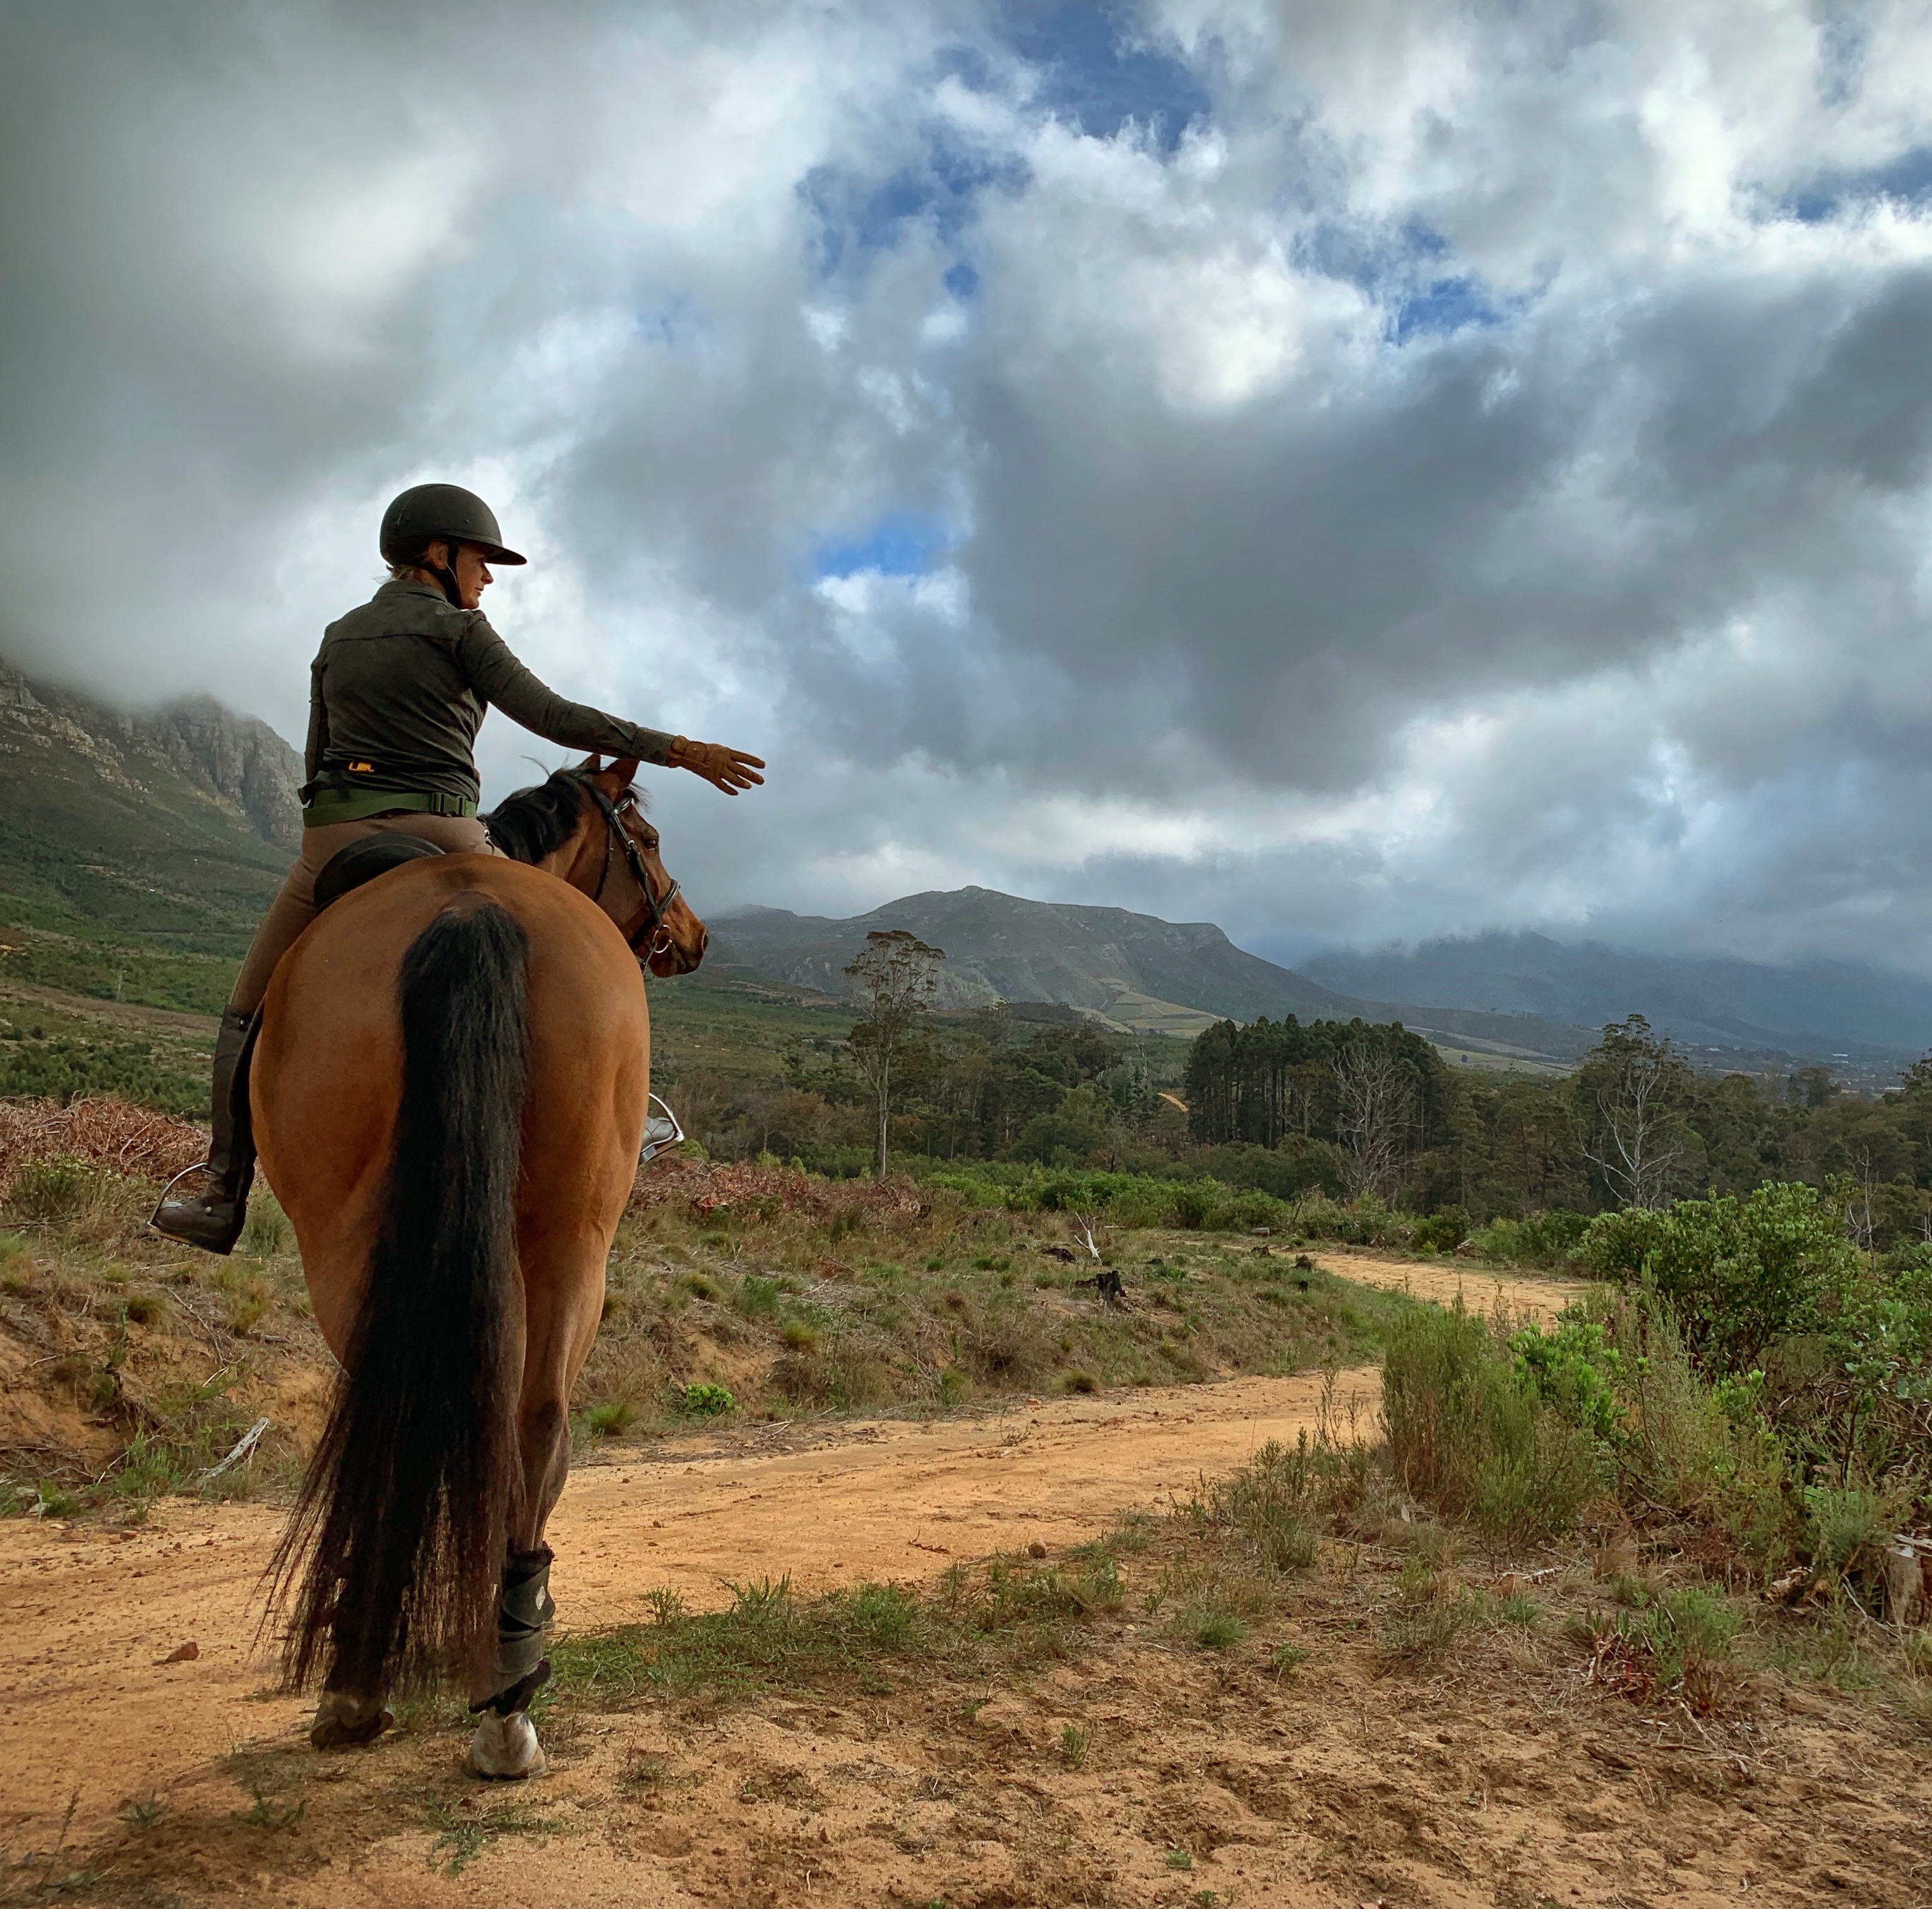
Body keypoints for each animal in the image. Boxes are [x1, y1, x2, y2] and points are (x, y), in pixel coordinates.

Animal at [255, 755, 706, 1780]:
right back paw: (503, 1683)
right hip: (570, 1238)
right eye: (649, 840)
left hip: (354, 1243)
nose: (694, 938)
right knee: (531, 1424)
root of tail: (470, 907)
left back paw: (390, 1683)